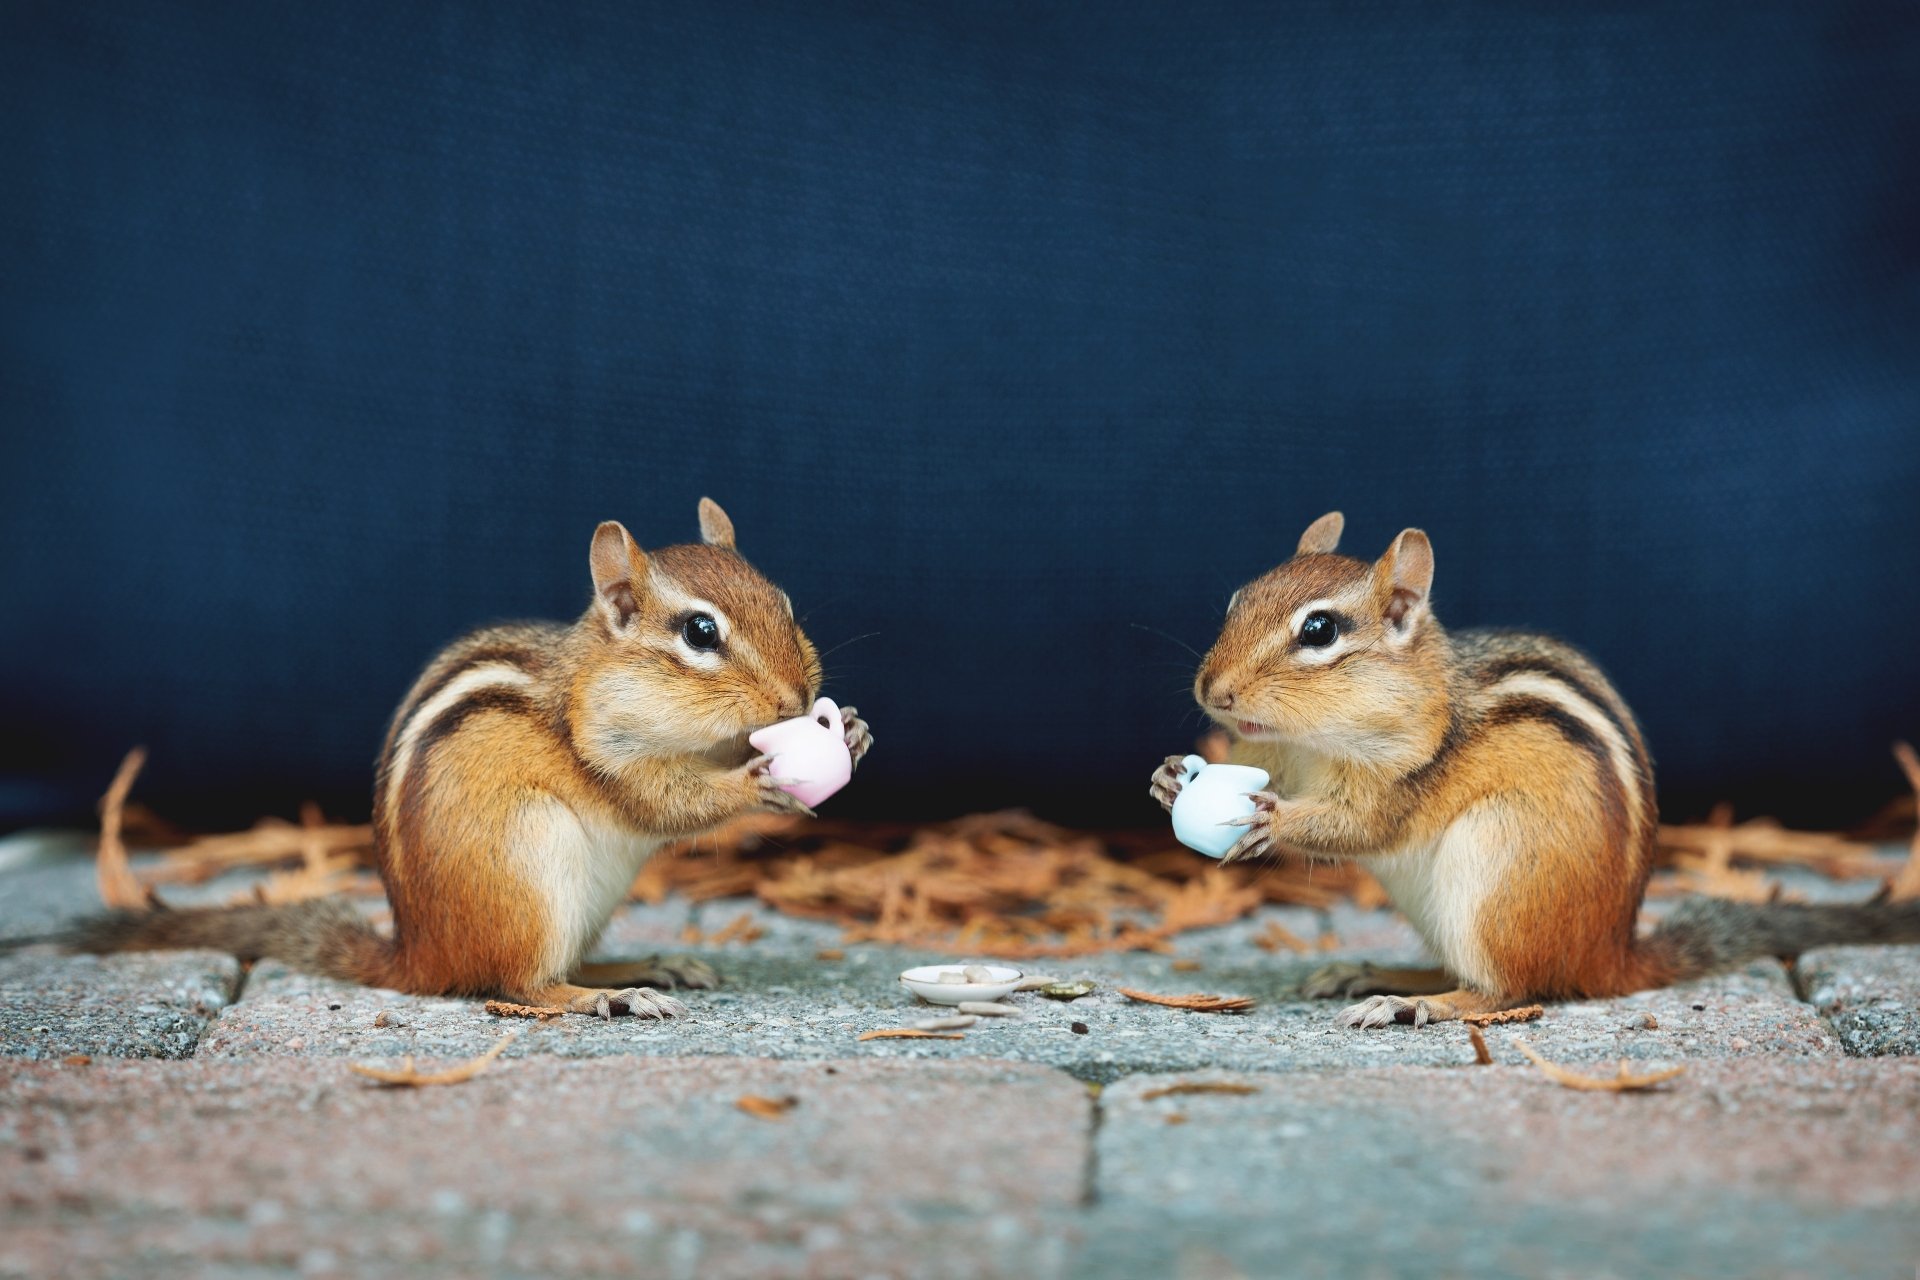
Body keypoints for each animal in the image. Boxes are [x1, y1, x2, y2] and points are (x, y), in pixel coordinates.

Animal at [67, 498, 872, 1019]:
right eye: (701, 633)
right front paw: (755, 781)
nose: (799, 698)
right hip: (532, 872)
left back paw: (644, 963)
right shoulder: (604, 751)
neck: (596, 679)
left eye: (785, 604)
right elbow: (664, 802)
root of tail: (419, 957)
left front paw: (854, 731)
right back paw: (612, 995)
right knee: (520, 984)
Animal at [1151, 510, 1920, 1028]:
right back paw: (1371, 972)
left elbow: (1360, 827)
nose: (1213, 692)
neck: (1309, 744)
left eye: (1319, 631)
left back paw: (1409, 1003)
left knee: (1508, 989)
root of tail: (1607, 957)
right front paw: (1168, 780)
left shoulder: (1405, 779)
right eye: (1236, 602)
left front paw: (1273, 821)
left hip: (1494, 874)